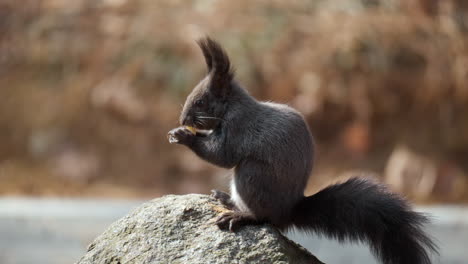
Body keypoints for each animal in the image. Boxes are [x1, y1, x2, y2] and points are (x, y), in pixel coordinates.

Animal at [169, 36, 438, 264]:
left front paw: (184, 136)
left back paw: (240, 216)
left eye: (200, 101)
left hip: (252, 175)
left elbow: (222, 155)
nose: (183, 119)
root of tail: (288, 212)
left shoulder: (238, 128)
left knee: (263, 217)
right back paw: (226, 199)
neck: (231, 107)